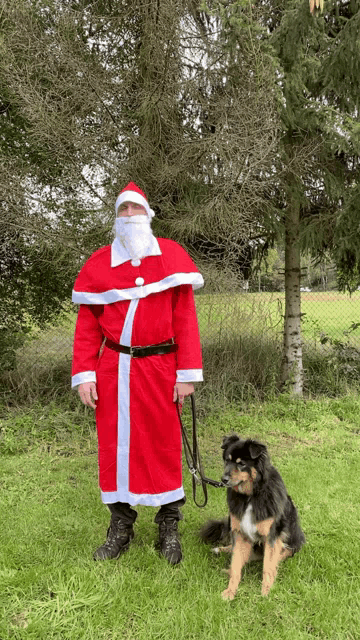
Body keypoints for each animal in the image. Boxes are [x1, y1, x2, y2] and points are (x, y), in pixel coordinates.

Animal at [201, 432, 306, 604]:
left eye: (241, 463)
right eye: (227, 460)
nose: (223, 480)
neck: (251, 496)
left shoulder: (272, 537)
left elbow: (267, 567)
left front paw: (265, 593)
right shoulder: (240, 532)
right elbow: (236, 565)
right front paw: (230, 591)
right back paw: (221, 551)